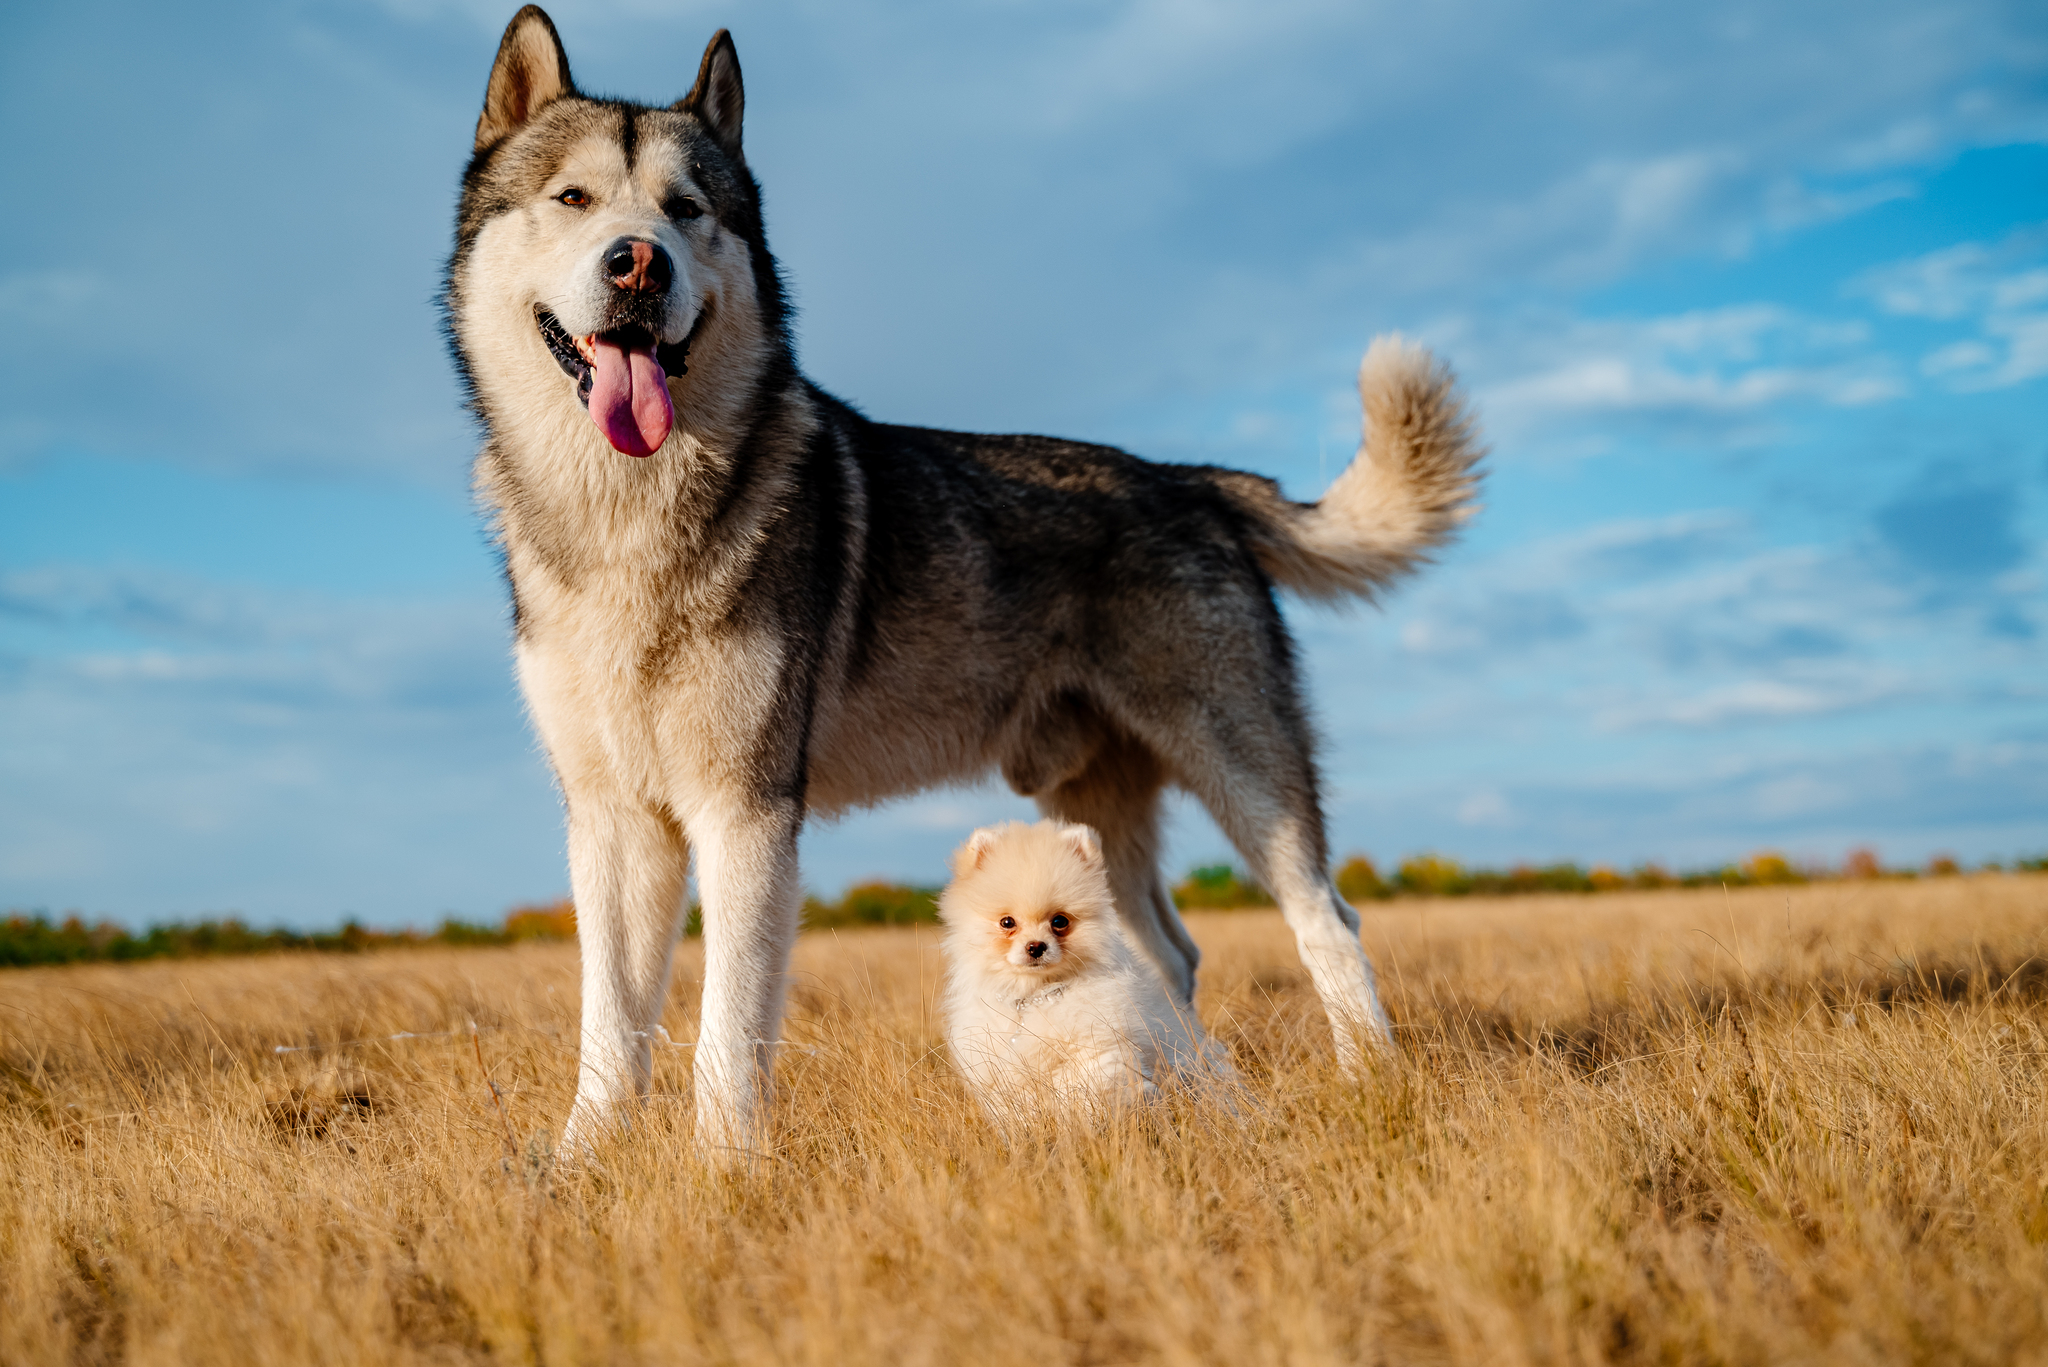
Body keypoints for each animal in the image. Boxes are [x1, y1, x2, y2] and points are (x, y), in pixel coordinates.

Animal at [937, 819, 1228, 1114]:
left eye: (1059, 921)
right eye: (1007, 922)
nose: (1036, 946)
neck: (1036, 996)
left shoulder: (1098, 1050)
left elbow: (1083, 1092)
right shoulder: (1000, 1070)